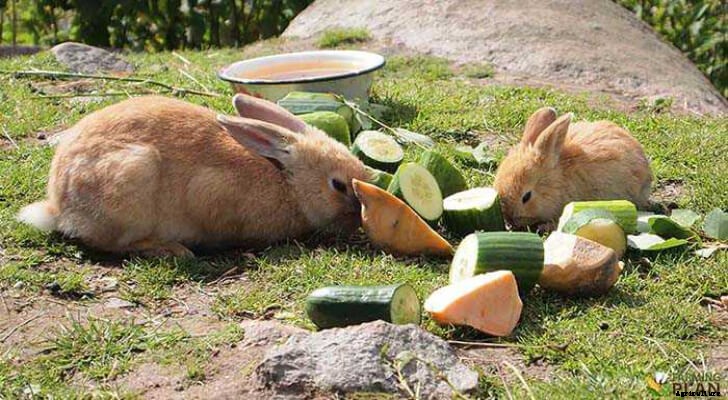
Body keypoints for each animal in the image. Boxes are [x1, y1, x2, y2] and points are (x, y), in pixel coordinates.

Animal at [17, 94, 370, 257]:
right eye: (338, 186)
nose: (358, 217)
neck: (288, 182)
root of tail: (58, 207)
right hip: (131, 179)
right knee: (111, 243)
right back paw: (171, 250)